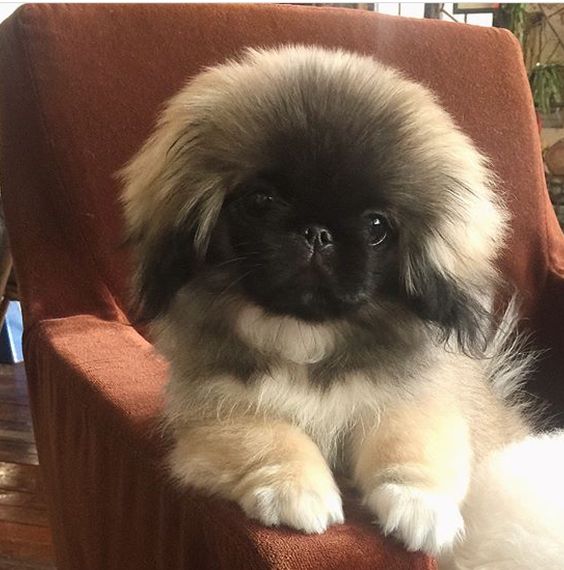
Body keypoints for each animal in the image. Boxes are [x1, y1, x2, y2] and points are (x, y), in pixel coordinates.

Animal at [119, 46, 532, 552]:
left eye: (376, 227)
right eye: (260, 201)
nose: (317, 233)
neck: (306, 335)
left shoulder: (413, 398)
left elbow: (408, 441)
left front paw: (420, 506)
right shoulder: (216, 408)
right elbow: (268, 436)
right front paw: (295, 491)